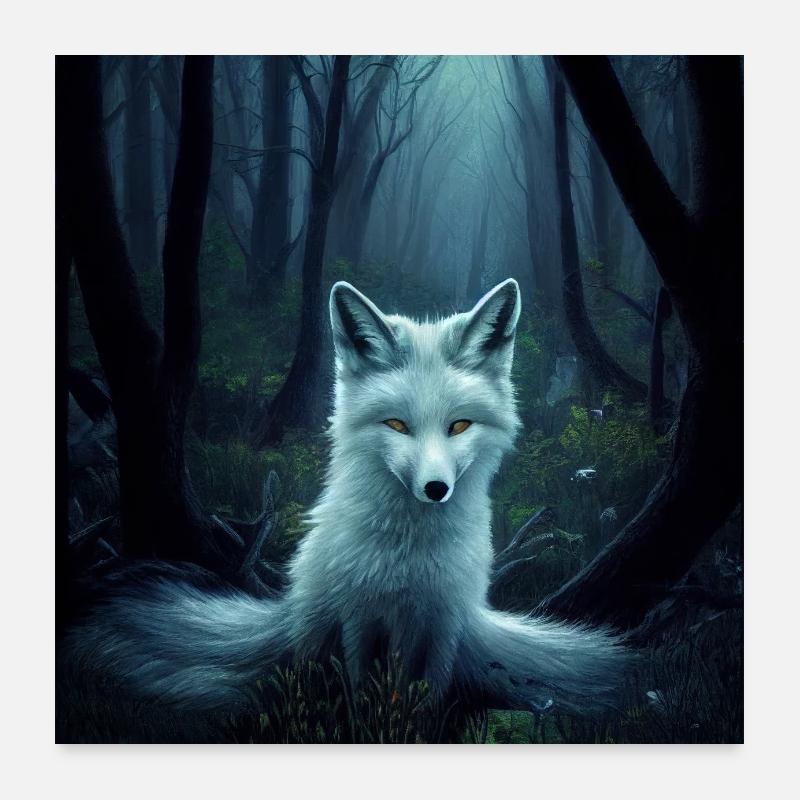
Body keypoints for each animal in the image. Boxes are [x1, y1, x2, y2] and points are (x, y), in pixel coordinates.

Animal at [64, 279, 629, 717]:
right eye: (397, 425)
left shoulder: (442, 622)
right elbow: (363, 692)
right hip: (316, 627)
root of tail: (284, 615)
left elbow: (428, 695)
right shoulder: (359, 616)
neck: (409, 557)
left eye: (459, 425)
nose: (436, 490)